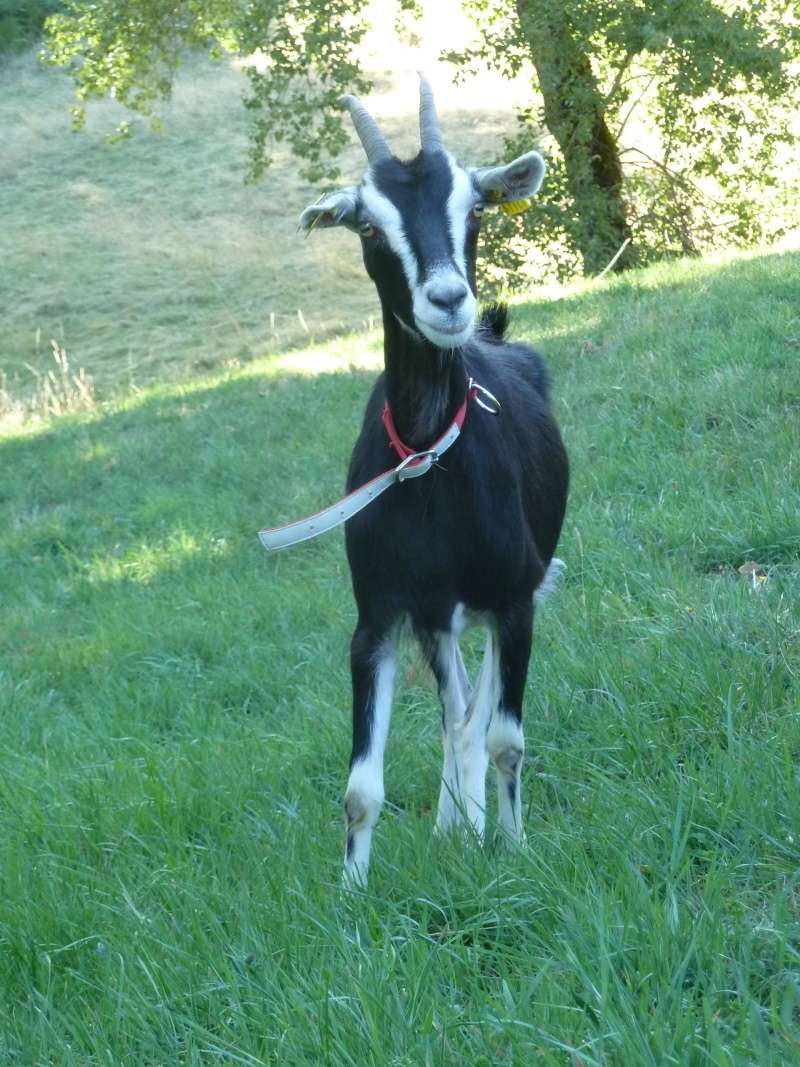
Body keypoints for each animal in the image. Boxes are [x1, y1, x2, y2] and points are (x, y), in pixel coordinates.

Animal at [298, 77, 571, 883]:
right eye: (365, 224)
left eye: (475, 207)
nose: (448, 300)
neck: (425, 458)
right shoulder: (382, 615)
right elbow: (361, 788)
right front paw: (352, 893)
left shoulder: (514, 602)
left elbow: (505, 738)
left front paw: (514, 851)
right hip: (437, 616)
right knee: (457, 714)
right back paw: (457, 821)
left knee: (473, 717)